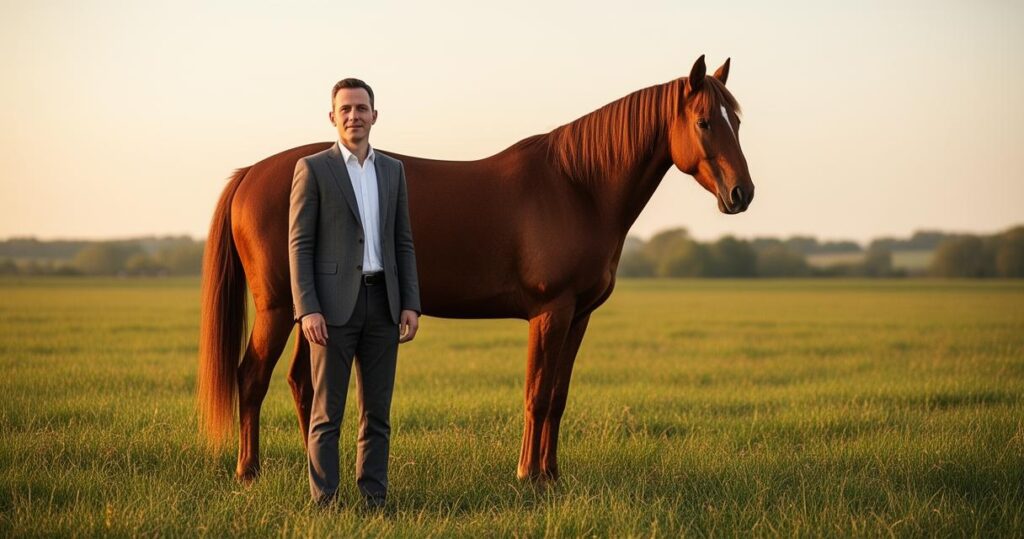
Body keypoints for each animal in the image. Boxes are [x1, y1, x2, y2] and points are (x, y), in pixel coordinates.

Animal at [198, 55, 754, 483]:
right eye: (705, 122)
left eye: (737, 121)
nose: (741, 194)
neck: (577, 186)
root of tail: (249, 175)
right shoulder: (550, 312)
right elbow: (536, 394)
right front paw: (529, 477)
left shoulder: (578, 316)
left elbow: (558, 397)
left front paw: (553, 476)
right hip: (278, 308)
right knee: (252, 378)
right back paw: (249, 472)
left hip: (312, 311)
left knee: (302, 384)